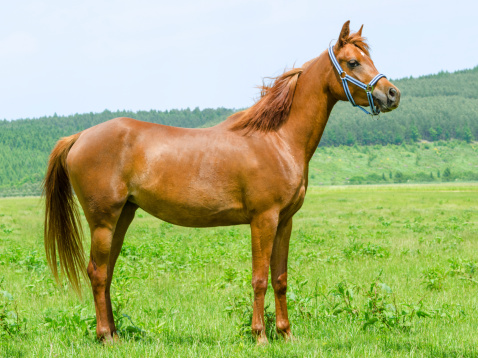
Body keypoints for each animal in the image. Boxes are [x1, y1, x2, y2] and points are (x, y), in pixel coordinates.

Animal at [43, 20, 400, 344]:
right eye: (353, 62)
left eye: (368, 57)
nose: (392, 94)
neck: (277, 139)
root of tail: (80, 136)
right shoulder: (263, 220)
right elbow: (259, 278)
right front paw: (260, 336)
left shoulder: (285, 221)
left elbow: (280, 278)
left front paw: (286, 334)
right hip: (103, 221)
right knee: (98, 272)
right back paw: (106, 335)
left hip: (123, 216)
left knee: (107, 272)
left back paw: (116, 334)